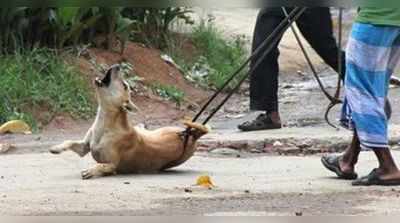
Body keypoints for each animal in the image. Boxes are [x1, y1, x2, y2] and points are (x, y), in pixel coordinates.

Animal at [50, 64, 209, 179]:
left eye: (125, 85)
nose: (117, 65)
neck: (105, 122)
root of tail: (191, 136)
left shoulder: (112, 164)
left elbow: (103, 166)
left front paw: (92, 170)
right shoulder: (84, 147)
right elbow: (69, 142)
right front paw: (56, 148)